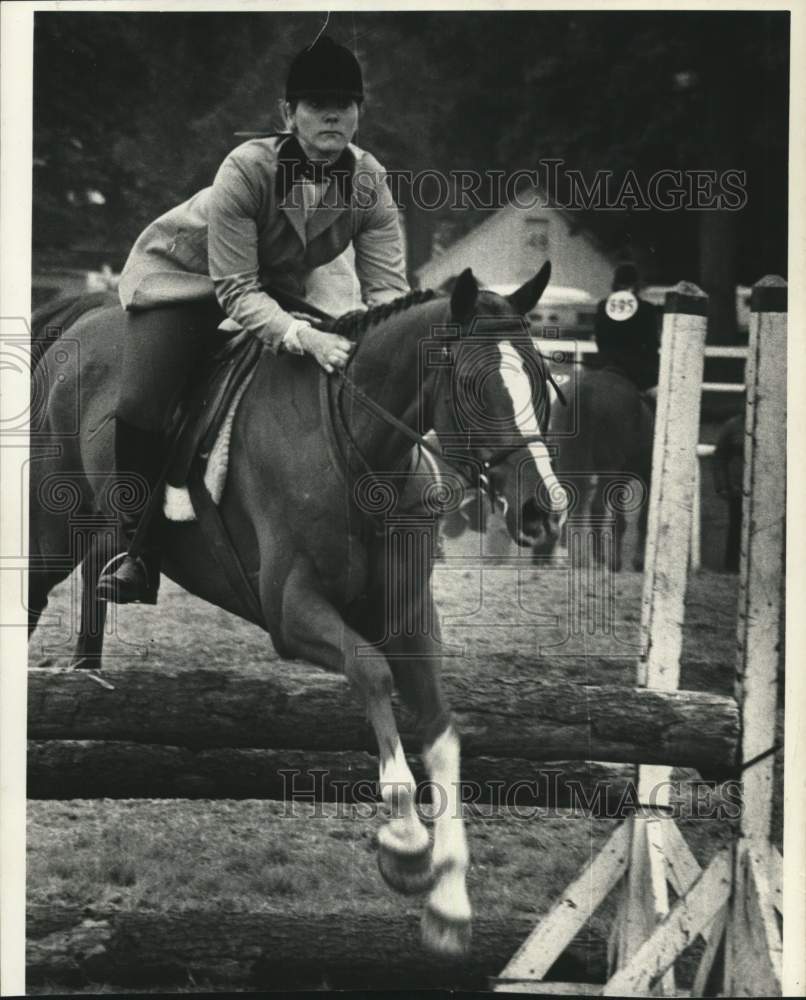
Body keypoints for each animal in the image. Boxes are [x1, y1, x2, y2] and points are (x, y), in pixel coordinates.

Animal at [26, 262, 568, 956]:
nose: (542, 510)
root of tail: (87, 312)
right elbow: (371, 672)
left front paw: (448, 901)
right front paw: (405, 843)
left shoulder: (411, 619)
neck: (363, 453)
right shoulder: (293, 610)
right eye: (474, 388)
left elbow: (440, 727)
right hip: (50, 532)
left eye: (542, 382)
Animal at [536, 366, 656, 572]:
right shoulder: (645, 476)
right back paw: (598, 558)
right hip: (608, 469)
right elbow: (642, 520)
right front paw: (636, 562)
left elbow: (621, 521)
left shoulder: (622, 480)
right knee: (596, 507)